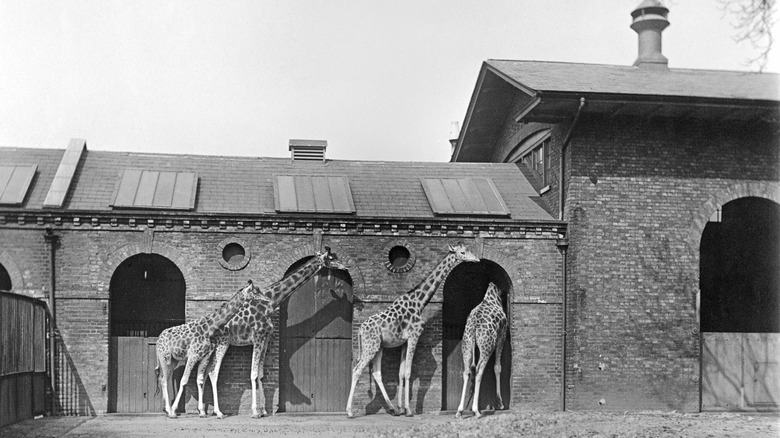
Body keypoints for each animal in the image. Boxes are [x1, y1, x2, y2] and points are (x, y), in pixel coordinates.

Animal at [154, 278, 260, 420]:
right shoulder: (193, 355)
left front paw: (203, 412)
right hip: (164, 357)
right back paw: (170, 411)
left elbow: (199, 380)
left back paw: (167, 409)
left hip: (173, 360)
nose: (265, 298)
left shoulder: (204, 357)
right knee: (164, 379)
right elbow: (184, 380)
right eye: (255, 291)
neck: (209, 328)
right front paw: (174, 411)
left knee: (163, 378)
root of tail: (158, 339)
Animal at [206, 246, 346, 418]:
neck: (271, 302)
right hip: (223, 342)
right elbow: (253, 373)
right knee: (213, 372)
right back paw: (218, 412)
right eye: (332, 258)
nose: (345, 267)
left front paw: (264, 410)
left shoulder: (266, 339)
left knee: (205, 371)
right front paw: (255, 412)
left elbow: (260, 374)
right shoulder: (258, 337)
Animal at [348, 243, 482, 418]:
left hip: (378, 347)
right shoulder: (414, 336)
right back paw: (349, 412)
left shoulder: (404, 341)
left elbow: (401, 372)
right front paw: (409, 410)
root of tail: (360, 330)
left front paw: (401, 408)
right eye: (462, 252)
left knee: (377, 373)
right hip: (371, 346)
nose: (477, 259)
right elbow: (408, 372)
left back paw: (392, 408)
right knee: (357, 369)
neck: (419, 302)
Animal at [454, 282, 508, 420]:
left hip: (467, 344)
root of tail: (474, 325)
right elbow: (497, 367)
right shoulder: (502, 335)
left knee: (467, 371)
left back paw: (460, 411)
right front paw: (499, 403)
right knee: (479, 371)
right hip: (487, 345)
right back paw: (476, 411)